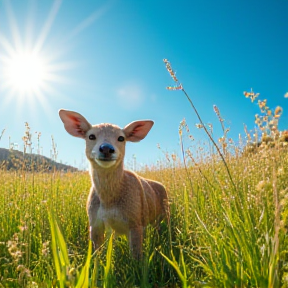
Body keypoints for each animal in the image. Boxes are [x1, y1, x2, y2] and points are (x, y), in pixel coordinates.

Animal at [58, 109, 169, 258]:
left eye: (121, 138)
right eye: (91, 136)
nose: (106, 148)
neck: (109, 202)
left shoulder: (135, 221)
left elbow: (136, 257)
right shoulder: (94, 221)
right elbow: (96, 254)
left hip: (165, 211)